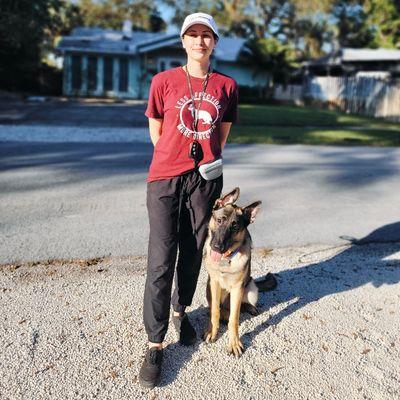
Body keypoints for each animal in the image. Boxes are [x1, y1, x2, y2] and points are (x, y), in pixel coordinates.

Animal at [205, 188, 276, 356]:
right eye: (219, 221)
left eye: (235, 227)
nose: (217, 247)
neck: (225, 260)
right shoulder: (214, 283)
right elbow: (215, 312)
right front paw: (213, 331)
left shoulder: (238, 288)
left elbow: (234, 319)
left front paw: (234, 343)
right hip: (208, 288)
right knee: (219, 309)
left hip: (251, 288)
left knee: (239, 307)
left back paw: (249, 308)